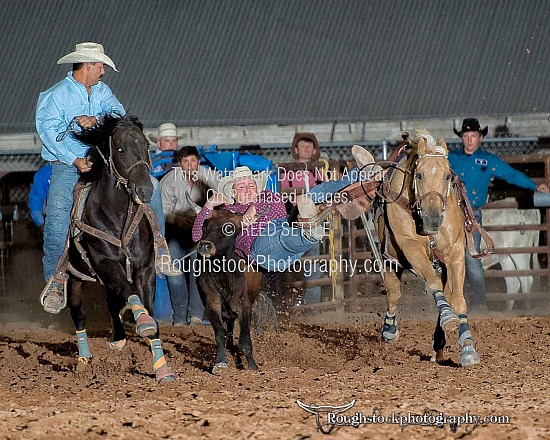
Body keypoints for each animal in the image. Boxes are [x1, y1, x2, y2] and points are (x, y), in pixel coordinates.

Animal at [65, 113, 177, 382]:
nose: (145, 190)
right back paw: (84, 360)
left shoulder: (145, 269)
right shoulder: (107, 264)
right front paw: (142, 322)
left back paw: (117, 338)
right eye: (120, 149)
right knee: (79, 312)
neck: (117, 216)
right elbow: (129, 292)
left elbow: (150, 315)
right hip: (74, 275)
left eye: (146, 145)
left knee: (111, 302)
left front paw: (163, 369)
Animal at [382, 128, 480, 368]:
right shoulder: (410, 247)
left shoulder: (455, 253)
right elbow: (432, 283)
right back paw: (389, 331)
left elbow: (458, 300)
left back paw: (439, 345)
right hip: (390, 258)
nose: (433, 219)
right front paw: (448, 317)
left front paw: (468, 347)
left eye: (447, 176)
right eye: (419, 175)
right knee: (393, 294)